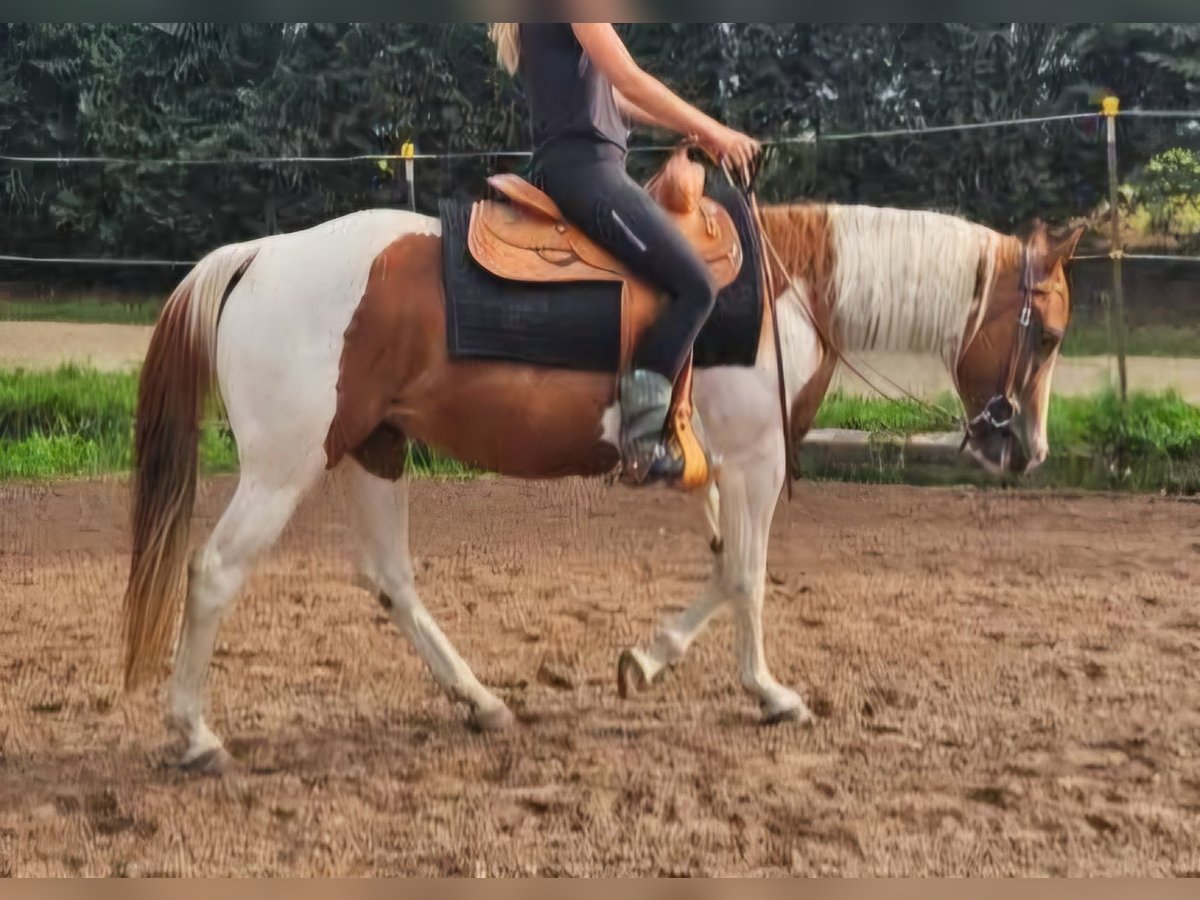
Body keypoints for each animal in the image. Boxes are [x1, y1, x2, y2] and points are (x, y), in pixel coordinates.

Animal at [119, 172, 1084, 772]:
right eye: (1048, 333)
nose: (1024, 449)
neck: (787, 294)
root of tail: (261, 254)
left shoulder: (717, 470)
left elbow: (723, 570)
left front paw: (646, 661)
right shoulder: (756, 461)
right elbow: (748, 574)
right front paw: (769, 693)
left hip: (373, 449)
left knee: (391, 580)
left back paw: (482, 702)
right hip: (285, 465)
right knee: (215, 572)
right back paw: (196, 736)